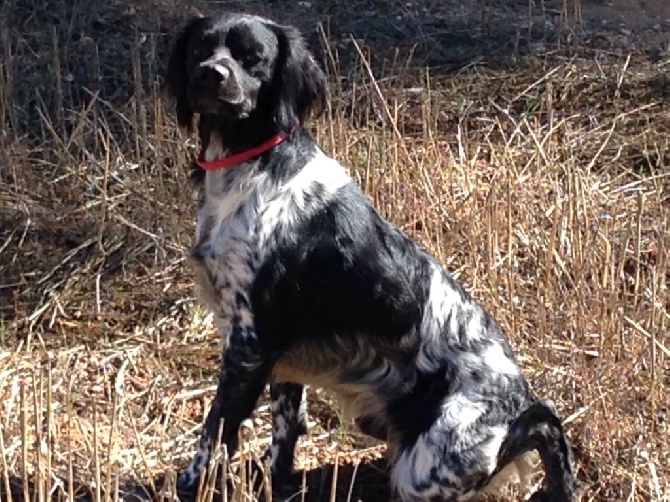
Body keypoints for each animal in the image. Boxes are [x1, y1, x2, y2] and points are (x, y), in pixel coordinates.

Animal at [165, 11, 580, 502]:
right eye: (199, 48)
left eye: (254, 57)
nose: (211, 73)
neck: (252, 166)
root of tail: (513, 401)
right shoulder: (283, 356)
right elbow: (284, 434)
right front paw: (276, 484)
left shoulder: (249, 341)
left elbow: (215, 431)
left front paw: (191, 484)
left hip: (427, 465)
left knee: (540, 423)